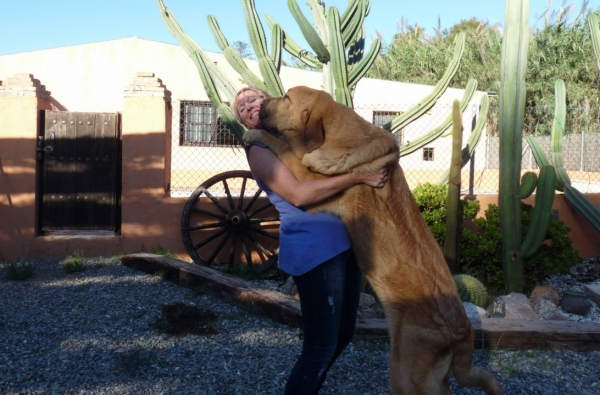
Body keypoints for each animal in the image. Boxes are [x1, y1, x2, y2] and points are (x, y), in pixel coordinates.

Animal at [243, 85, 502, 394]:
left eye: (286, 98)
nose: (259, 106)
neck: (340, 136)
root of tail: (462, 333)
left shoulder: (306, 177)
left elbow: (283, 147)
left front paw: (256, 135)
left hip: (404, 373)